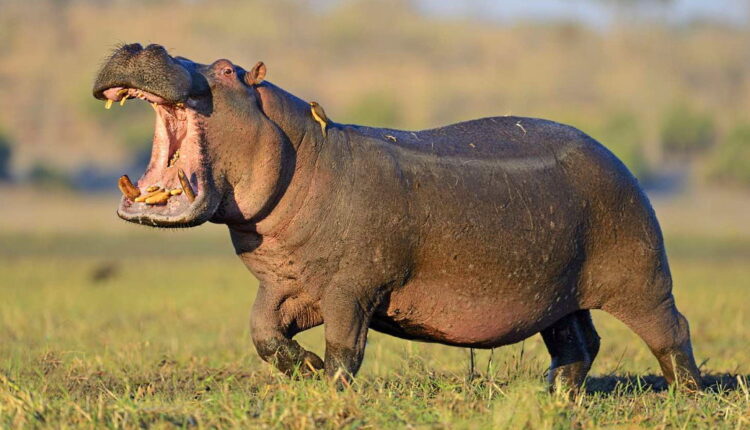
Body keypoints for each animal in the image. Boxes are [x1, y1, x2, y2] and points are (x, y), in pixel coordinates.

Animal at [93, 43, 702, 391]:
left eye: (225, 69)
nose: (143, 42)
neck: (302, 149)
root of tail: (616, 157)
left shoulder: (350, 287)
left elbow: (345, 347)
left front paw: (331, 390)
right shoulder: (283, 283)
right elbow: (263, 333)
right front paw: (305, 371)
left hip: (643, 276)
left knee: (672, 330)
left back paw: (687, 394)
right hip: (558, 290)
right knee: (579, 342)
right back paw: (551, 394)